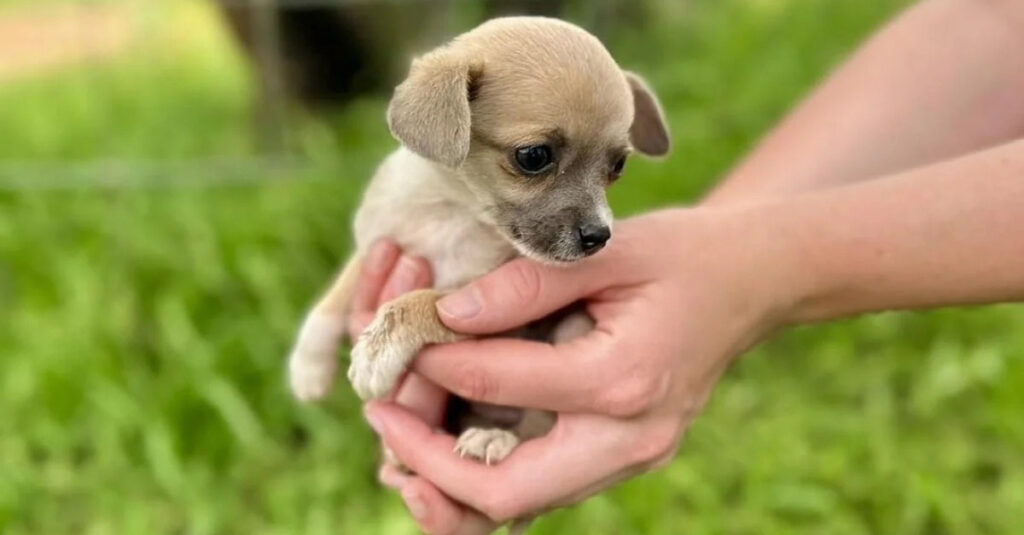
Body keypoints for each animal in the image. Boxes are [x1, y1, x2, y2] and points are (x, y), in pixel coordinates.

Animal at [288, 13, 671, 524]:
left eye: (618, 165)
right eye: (534, 156)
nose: (599, 236)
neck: (449, 211)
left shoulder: (487, 311)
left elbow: (422, 301)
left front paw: (377, 349)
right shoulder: (375, 242)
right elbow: (333, 295)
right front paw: (307, 366)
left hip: (570, 329)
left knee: (536, 421)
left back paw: (496, 436)